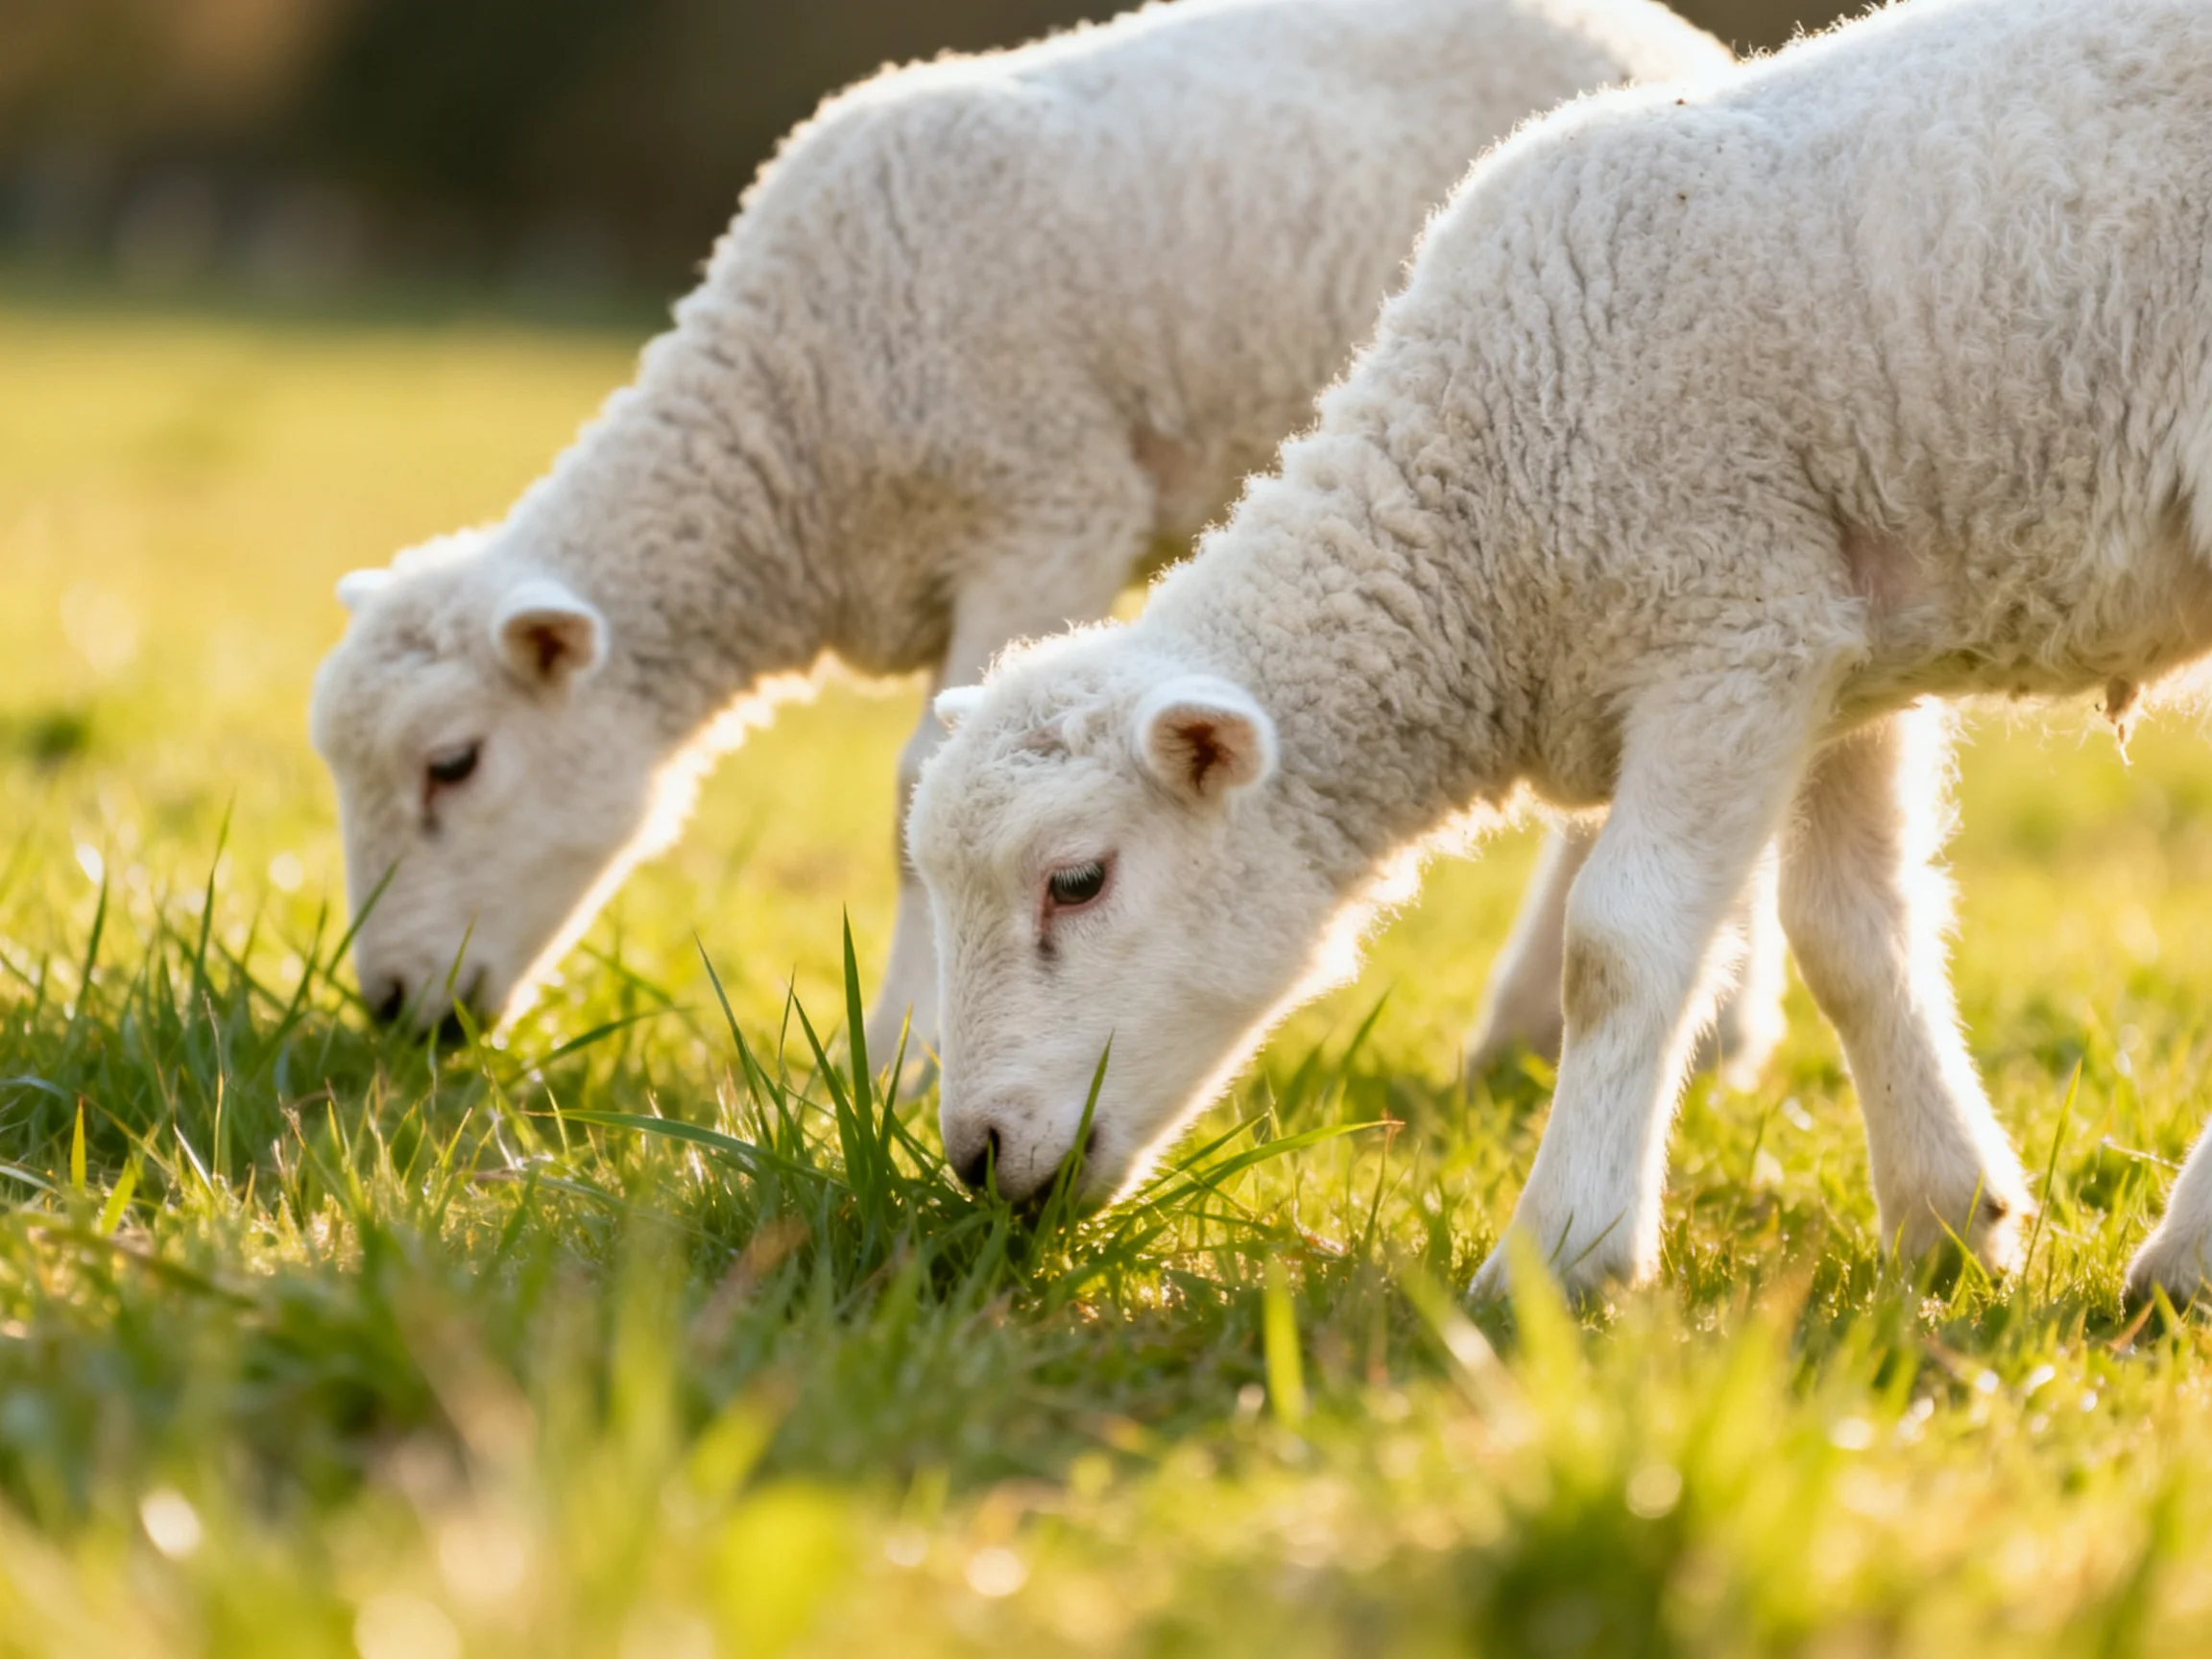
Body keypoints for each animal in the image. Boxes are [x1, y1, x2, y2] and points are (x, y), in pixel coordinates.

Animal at [306, 0, 1739, 1054]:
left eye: (452, 765)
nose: (393, 1010)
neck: (791, 428)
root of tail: (1669, 37)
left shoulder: (1044, 513)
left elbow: (911, 795)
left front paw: (898, 1055)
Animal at [910, 0, 2212, 1299]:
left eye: (1078, 880)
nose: (976, 1155)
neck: (1487, 507)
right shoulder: (1841, 642)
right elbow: (1853, 932)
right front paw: (1949, 1218)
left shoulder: (1729, 626)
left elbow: (1619, 947)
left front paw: (1565, 1256)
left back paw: (2182, 1260)